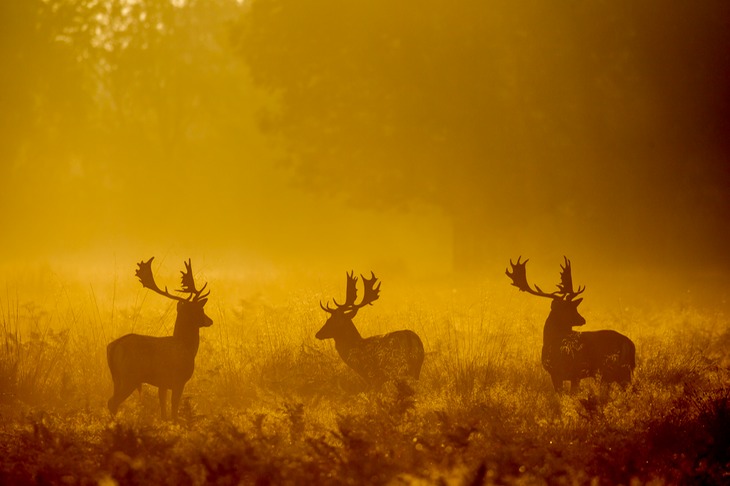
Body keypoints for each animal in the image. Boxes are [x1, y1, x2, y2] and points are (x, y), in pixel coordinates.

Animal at [106, 256, 212, 420]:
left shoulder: (162, 384)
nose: (210, 320)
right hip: (130, 376)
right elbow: (174, 410)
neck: (188, 347)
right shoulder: (178, 380)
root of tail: (114, 346)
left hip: (116, 378)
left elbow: (163, 411)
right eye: (201, 309)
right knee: (112, 402)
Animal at [504, 256, 636, 392]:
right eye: (567, 308)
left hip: (609, 370)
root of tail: (629, 344)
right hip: (621, 371)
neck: (552, 340)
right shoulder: (561, 374)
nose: (583, 320)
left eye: (574, 307)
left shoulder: (570, 372)